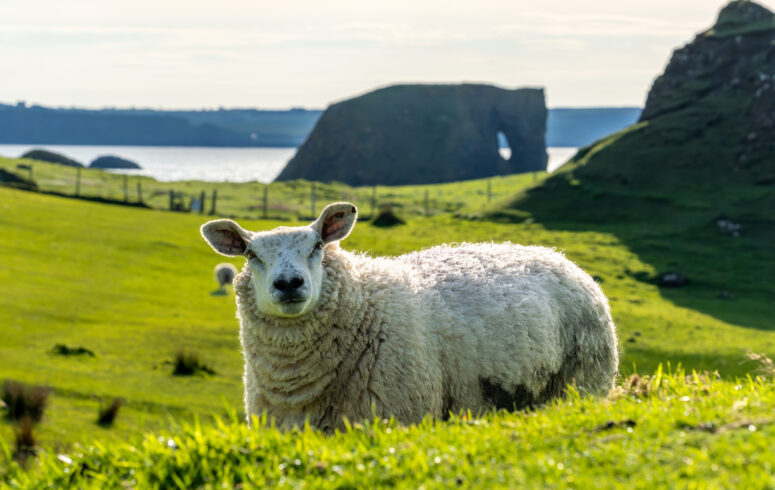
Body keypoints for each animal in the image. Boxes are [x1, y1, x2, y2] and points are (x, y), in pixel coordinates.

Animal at [202, 201, 620, 430]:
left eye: (318, 246)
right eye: (251, 255)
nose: (289, 283)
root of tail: (558, 256)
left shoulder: (398, 412)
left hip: (585, 382)